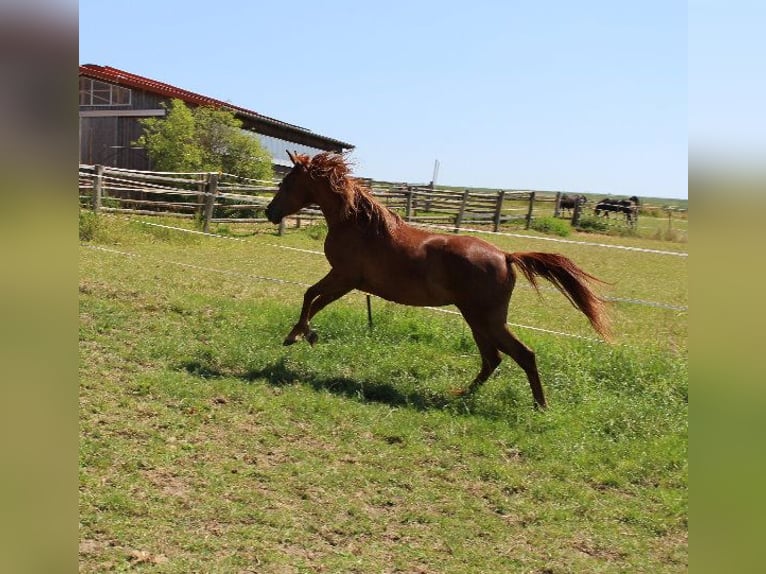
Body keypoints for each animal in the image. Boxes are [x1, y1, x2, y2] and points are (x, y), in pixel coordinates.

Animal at [266, 151, 612, 408]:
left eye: (287, 182)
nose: (270, 212)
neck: (358, 225)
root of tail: (505, 256)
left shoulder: (344, 276)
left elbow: (309, 296)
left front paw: (300, 335)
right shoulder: (348, 282)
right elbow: (315, 302)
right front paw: (301, 335)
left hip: (485, 319)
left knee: (520, 355)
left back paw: (539, 407)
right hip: (478, 319)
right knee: (493, 359)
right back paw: (461, 395)